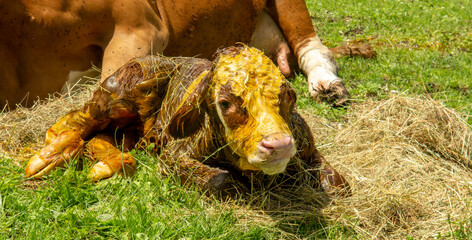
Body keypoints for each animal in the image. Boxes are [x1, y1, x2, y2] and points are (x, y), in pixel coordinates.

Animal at [25, 46, 350, 195]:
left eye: (286, 98)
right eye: (225, 103)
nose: (279, 145)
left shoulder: (306, 145)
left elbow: (337, 182)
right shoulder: (174, 155)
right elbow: (219, 179)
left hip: (130, 129)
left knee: (104, 140)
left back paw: (107, 164)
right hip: (120, 91)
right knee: (72, 122)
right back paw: (49, 157)